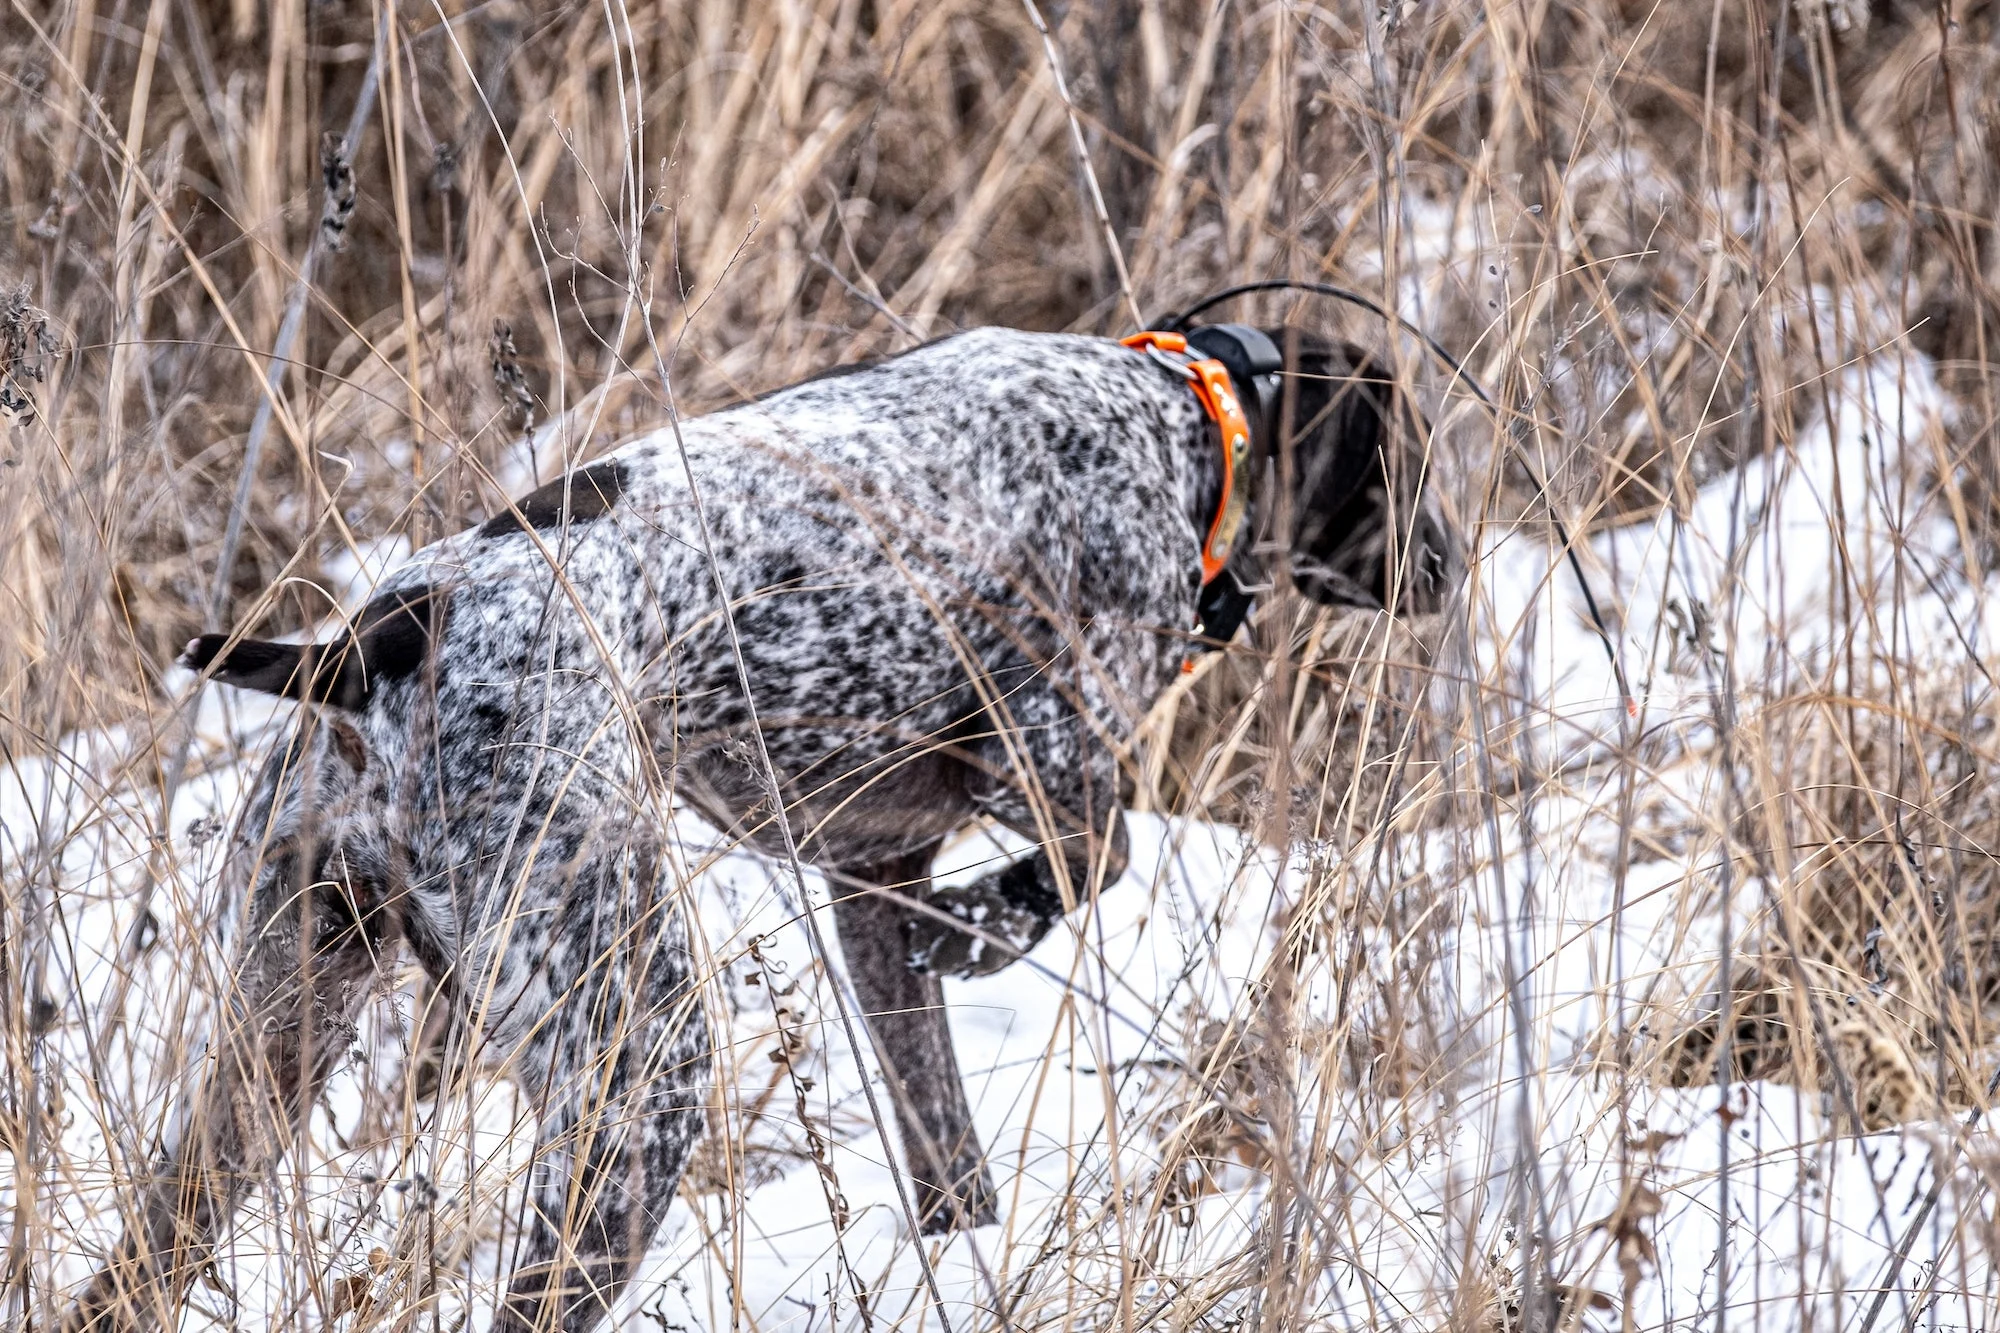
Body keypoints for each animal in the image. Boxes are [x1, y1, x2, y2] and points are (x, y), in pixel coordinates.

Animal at [70, 324, 1464, 1328]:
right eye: (1399, 459)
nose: (1451, 564)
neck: (1174, 415)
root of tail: (375, 640)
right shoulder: (1046, 752)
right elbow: (1090, 856)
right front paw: (983, 927)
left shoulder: (871, 881)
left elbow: (944, 1138)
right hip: (638, 1063)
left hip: (272, 1043)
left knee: (136, 1268)